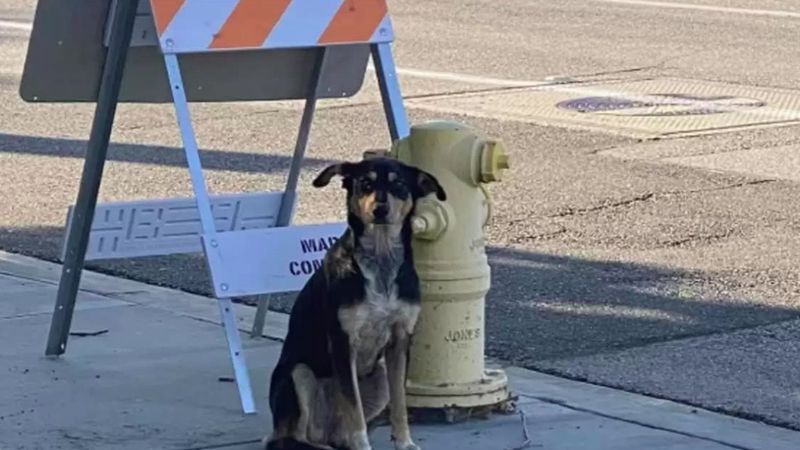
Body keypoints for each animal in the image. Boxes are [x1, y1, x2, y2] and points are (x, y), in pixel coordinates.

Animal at [266, 156, 446, 450]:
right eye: (365, 183)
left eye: (399, 184)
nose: (380, 209)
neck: (381, 262)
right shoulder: (343, 342)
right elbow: (354, 409)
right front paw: (363, 445)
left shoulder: (400, 340)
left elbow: (400, 403)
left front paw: (405, 443)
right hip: (297, 374)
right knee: (290, 438)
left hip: (379, 377)